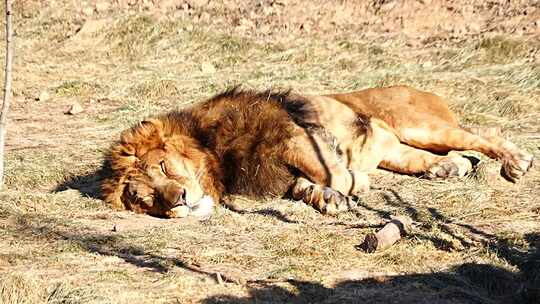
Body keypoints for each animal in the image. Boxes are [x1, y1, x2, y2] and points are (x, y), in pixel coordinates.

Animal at [101, 85, 532, 218]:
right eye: (147, 200)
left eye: (163, 165)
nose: (178, 200)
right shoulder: (279, 172)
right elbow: (308, 185)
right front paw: (328, 200)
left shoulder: (293, 135)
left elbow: (333, 172)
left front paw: (352, 186)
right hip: (402, 151)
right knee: (437, 157)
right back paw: (447, 169)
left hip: (422, 125)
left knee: (482, 134)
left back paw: (517, 162)